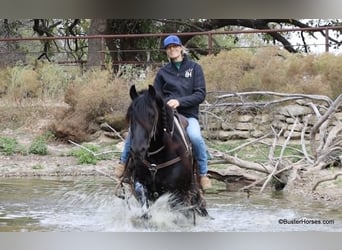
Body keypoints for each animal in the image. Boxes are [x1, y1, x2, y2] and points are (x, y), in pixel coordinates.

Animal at [119, 85, 207, 220]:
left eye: (152, 115)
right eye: (130, 116)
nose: (138, 150)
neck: (157, 157)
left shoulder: (177, 193)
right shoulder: (140, 183)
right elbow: (145, 208)